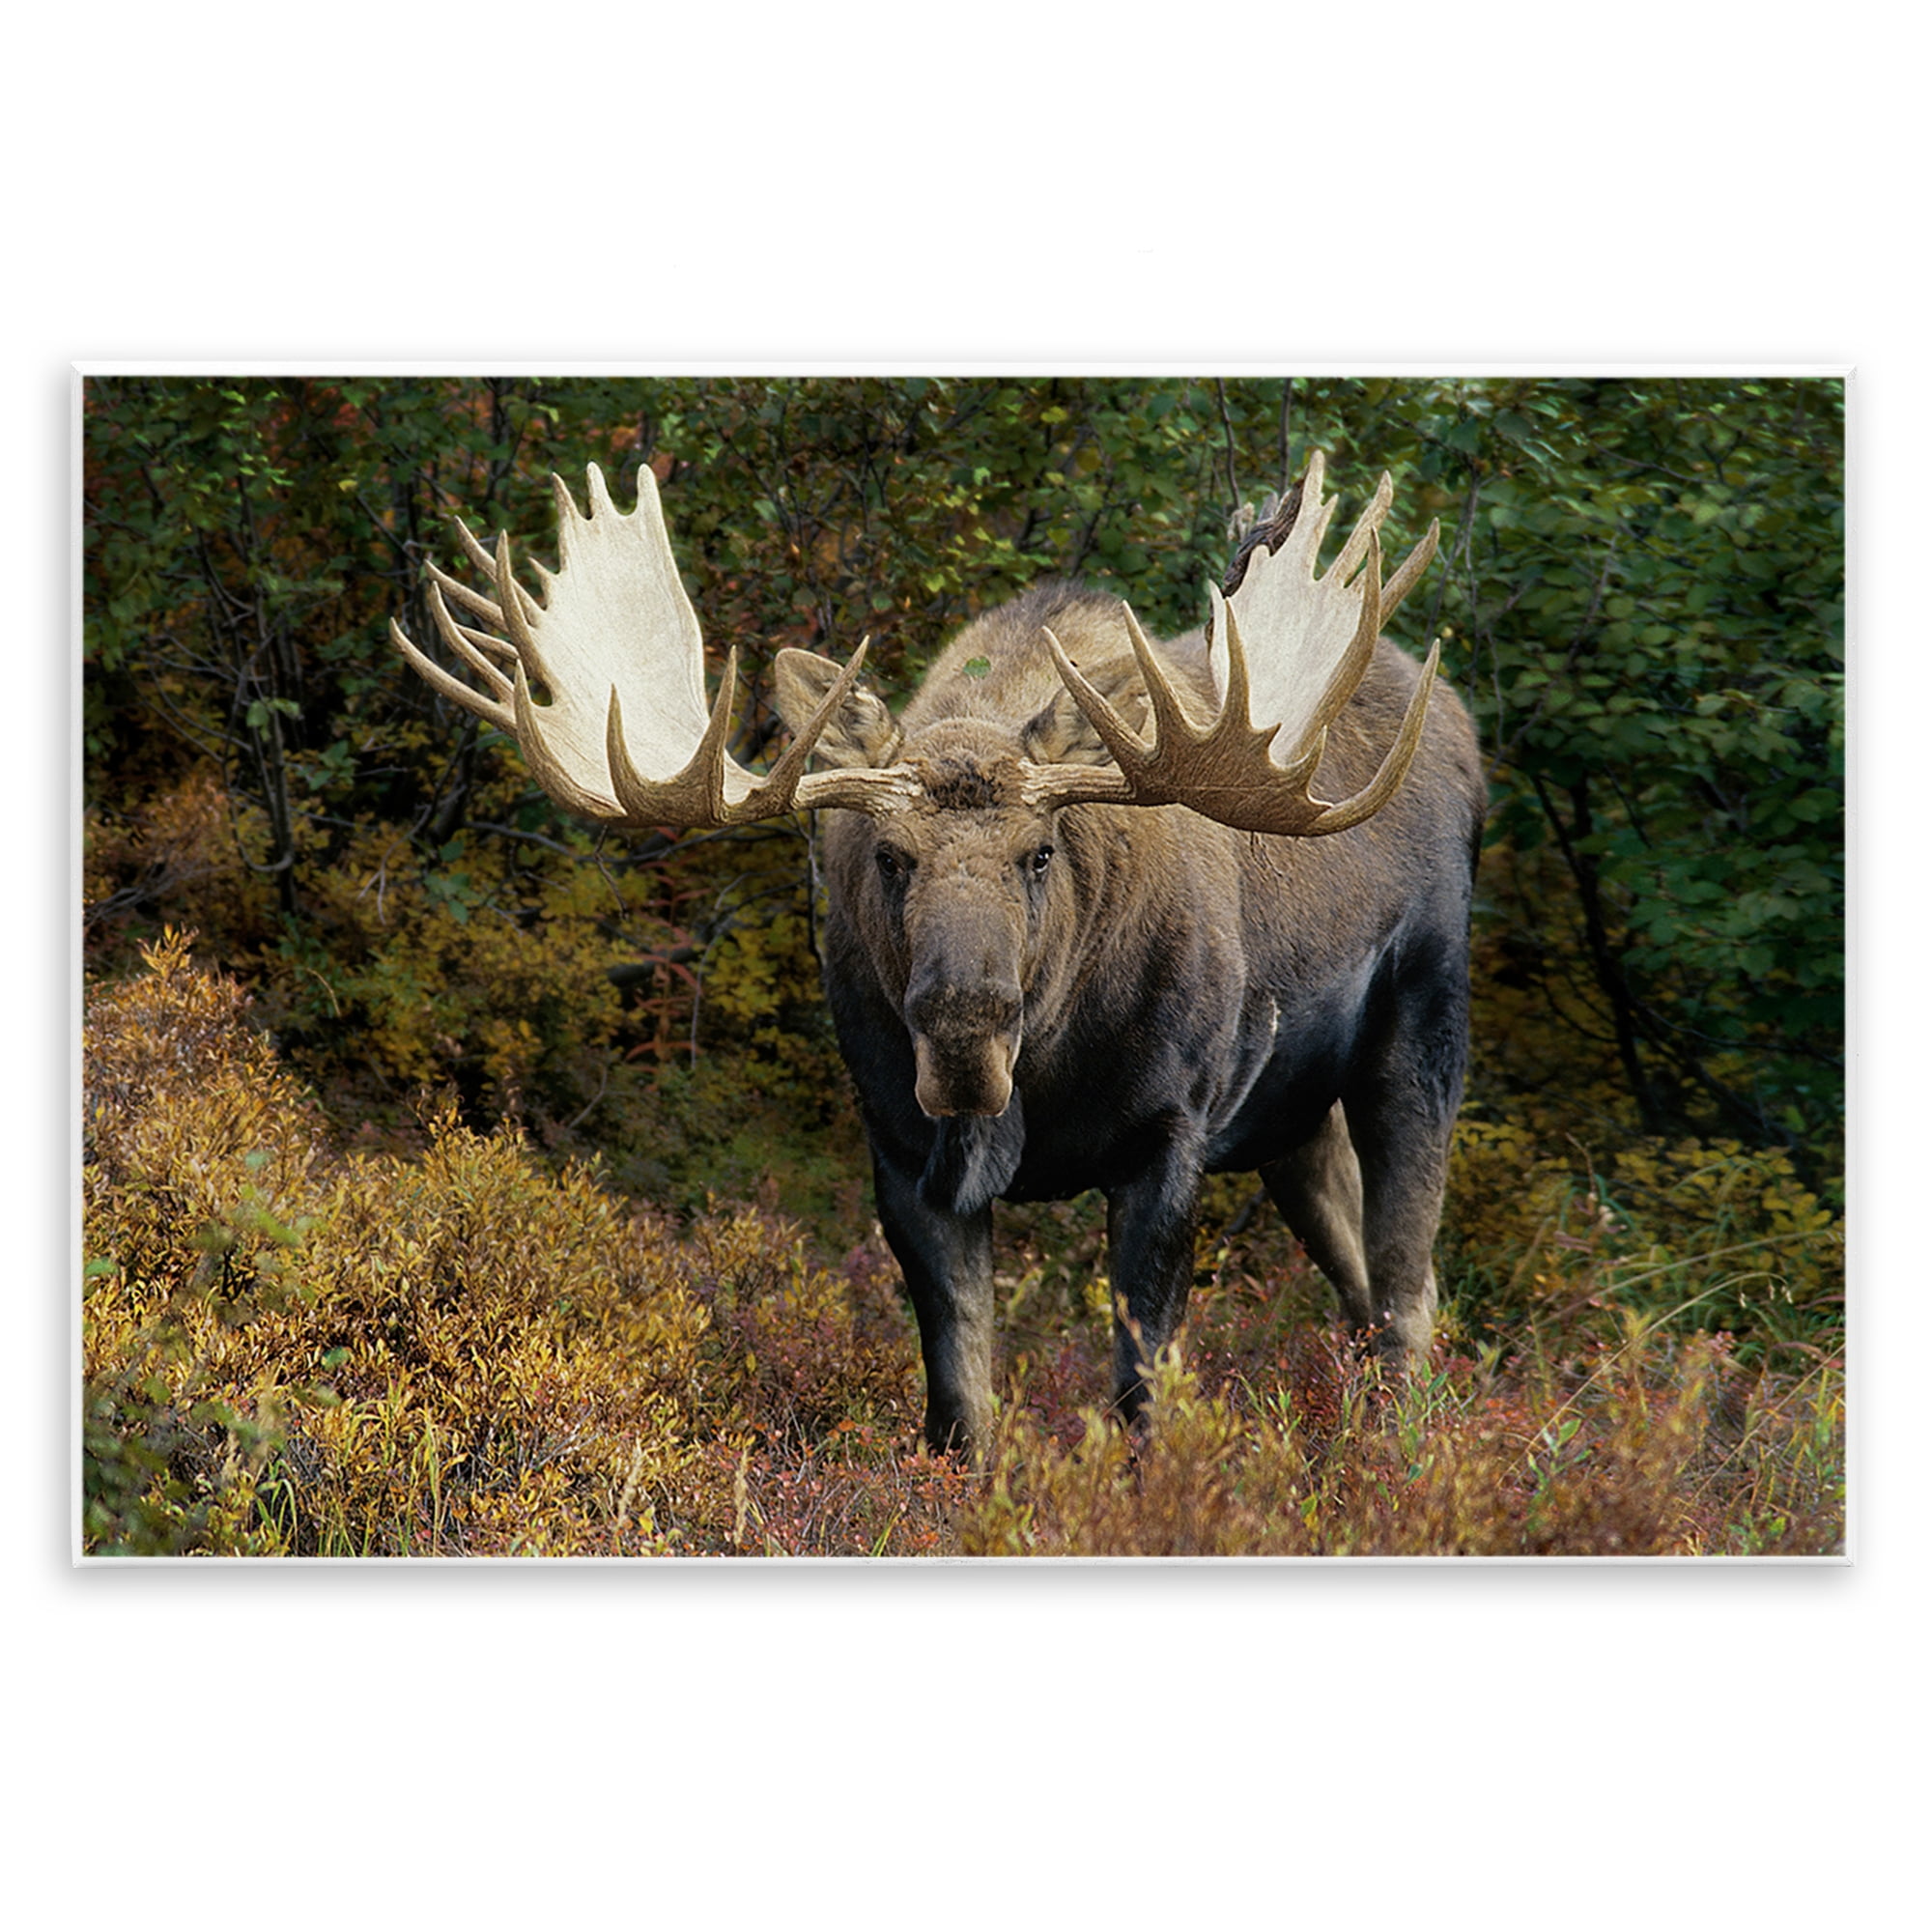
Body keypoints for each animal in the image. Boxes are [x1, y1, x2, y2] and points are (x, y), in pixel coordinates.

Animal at [392, 453, 1487, 1460]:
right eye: (889, 854)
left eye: (1040, 851)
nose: (965, 1032)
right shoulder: (900, 1152)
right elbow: (959, 1405)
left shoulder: (1169, 1137)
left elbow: (1143, 1396)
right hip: (1288, 1118)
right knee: (1361, 1276)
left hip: (1420, 1024)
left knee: (1407, 1282)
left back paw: (1403, 1456)